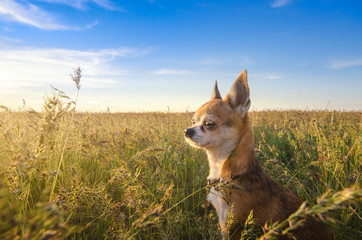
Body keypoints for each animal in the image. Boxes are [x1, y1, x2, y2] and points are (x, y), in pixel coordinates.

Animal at [185, 70, 332, 240]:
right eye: (193, 121)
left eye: (208, 123)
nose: (187, 130)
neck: (234, 175)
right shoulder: (223, 220)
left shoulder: (233, 227)